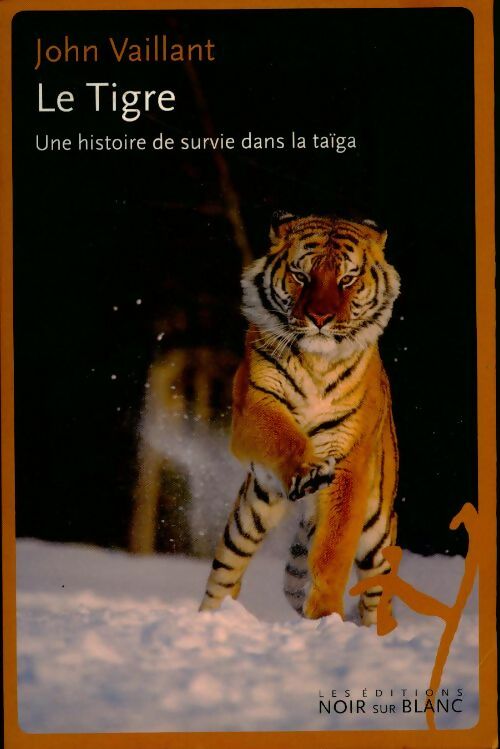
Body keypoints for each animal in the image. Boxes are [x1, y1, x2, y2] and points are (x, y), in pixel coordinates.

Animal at [199, 212, 400, 625]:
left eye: (347, 279)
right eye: (301, 275)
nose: (320, 317)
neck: (316, 362)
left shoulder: (350, 462)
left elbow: (333, 550)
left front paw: (325, 616)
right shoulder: (253, 408)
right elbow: (284, 436)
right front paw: (307, 471)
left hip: (378, 537)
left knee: (377, 592)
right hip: (249, 516)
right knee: (224, 575)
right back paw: (211, 620)